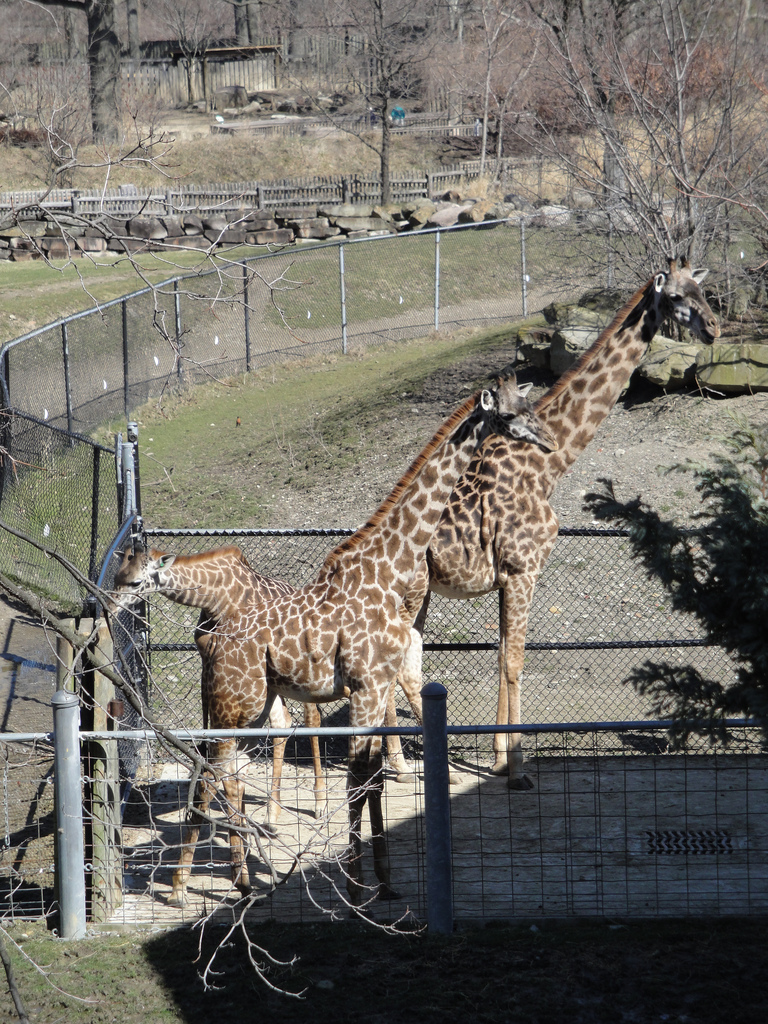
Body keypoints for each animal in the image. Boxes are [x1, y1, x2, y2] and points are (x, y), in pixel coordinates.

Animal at [113, 373, 558, 906]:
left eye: (529, 407)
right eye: (511, 415)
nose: (548, 442)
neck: (387, 570)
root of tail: (213, 641)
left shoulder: (379, 687)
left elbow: (372, 782)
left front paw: (384, 881)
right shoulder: (365, 688)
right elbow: (357, 783)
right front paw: (355, 885)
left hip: (249, 705)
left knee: (223, 770)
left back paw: (239, 880)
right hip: (232, 704)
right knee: (213, 773)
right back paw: (184, 887)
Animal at [385, 259, 720, 788]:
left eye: (703, 291)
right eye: (676, 298)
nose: (713, 328)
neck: (548, 466)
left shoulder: (509, 576)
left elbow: (503, 655)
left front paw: (500, 761)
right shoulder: (523, 570)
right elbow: (516, 661)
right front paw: (518, 769)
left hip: (420, 597)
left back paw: (401, 764)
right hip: (410, 595)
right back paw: (408, 767)